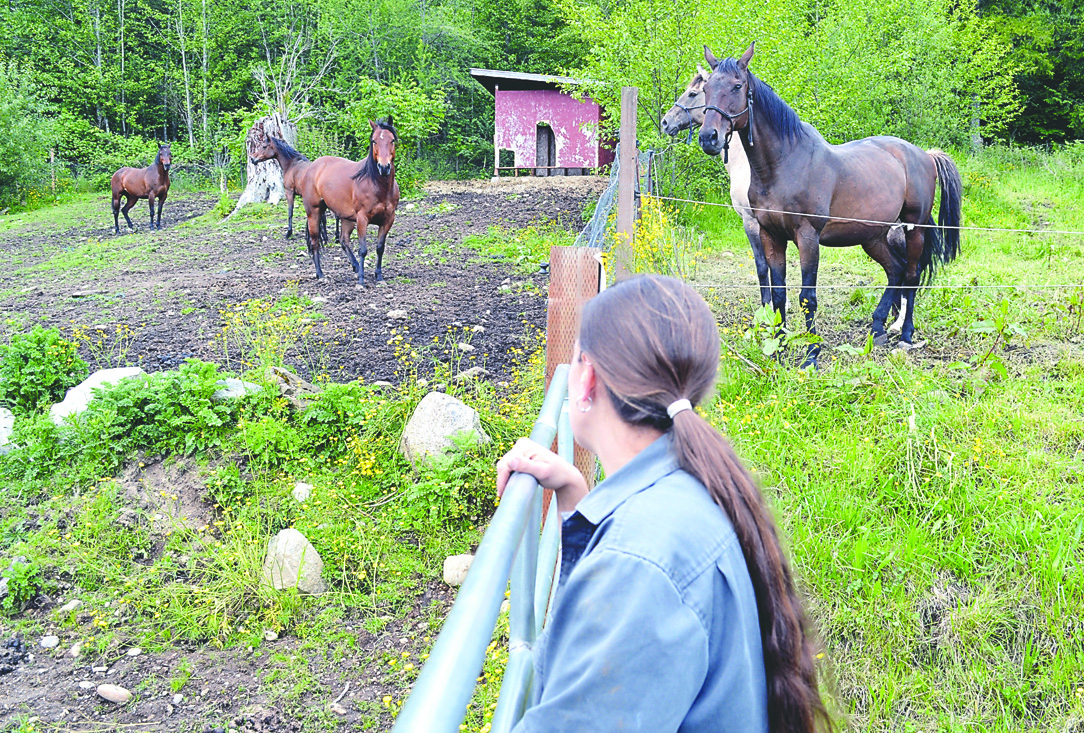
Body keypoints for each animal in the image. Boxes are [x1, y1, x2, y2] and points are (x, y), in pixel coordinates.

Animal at [299, 118, 401, 281]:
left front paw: (378, 276)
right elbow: (363, 249)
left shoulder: (388, 219)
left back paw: (355, 266)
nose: (384, 167)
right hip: (313, 212)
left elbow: (380, 248)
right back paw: (320, 274)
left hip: (346, 218)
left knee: (343, 240)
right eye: (374, 141)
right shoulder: (362, 219)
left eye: (392, 140)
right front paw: (361, 280)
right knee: (315, 243)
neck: (378, 187)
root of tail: (312, 167)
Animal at [698, 42, 962, 364]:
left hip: (915, 229)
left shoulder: (808, 237)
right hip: (872, 237)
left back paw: (906, 335)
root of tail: (924, 155)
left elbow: (807, 297)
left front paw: (812, 353)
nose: (708, 137)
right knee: (895, 271)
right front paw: (778, 349)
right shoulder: (771, 235)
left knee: (911, 275)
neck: (784, 164)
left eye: (737, 85)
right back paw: (878, 329)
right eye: (706, 88)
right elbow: (779, 293)